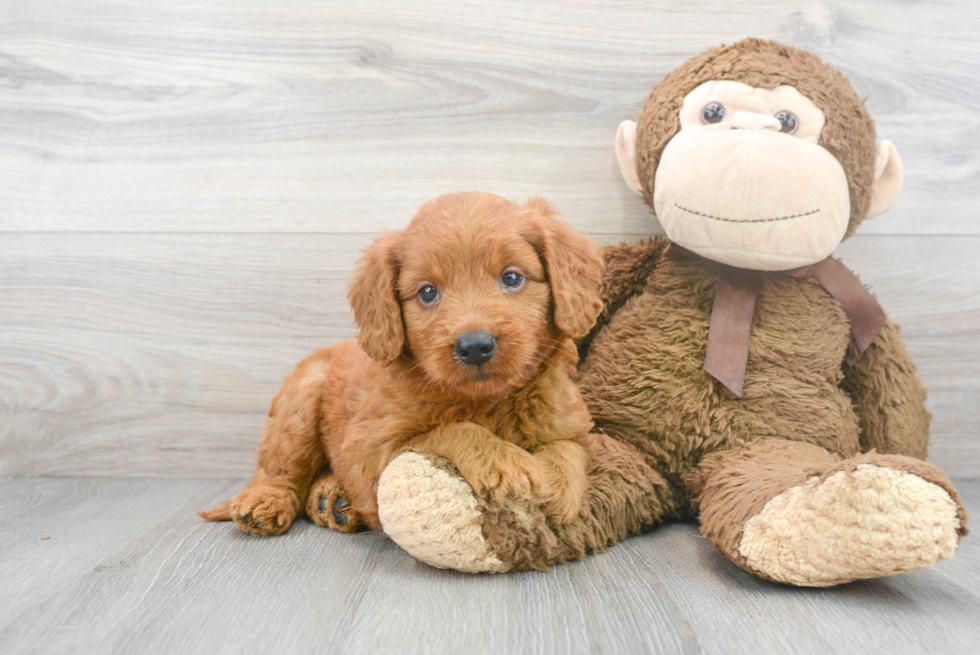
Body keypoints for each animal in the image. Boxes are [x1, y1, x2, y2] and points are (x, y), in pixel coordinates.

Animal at [200, 192, 604, 536]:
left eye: (512, 277)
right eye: (427, 292)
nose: (474, 346)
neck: (484, 401)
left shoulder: (574, 427)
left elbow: (569, 449)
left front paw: (556, 487)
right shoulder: (370, 452)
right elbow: (448, 430)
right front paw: (504, 463)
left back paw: (330, 498)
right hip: (301, 400)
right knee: (280, 468)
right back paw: (266, 501)